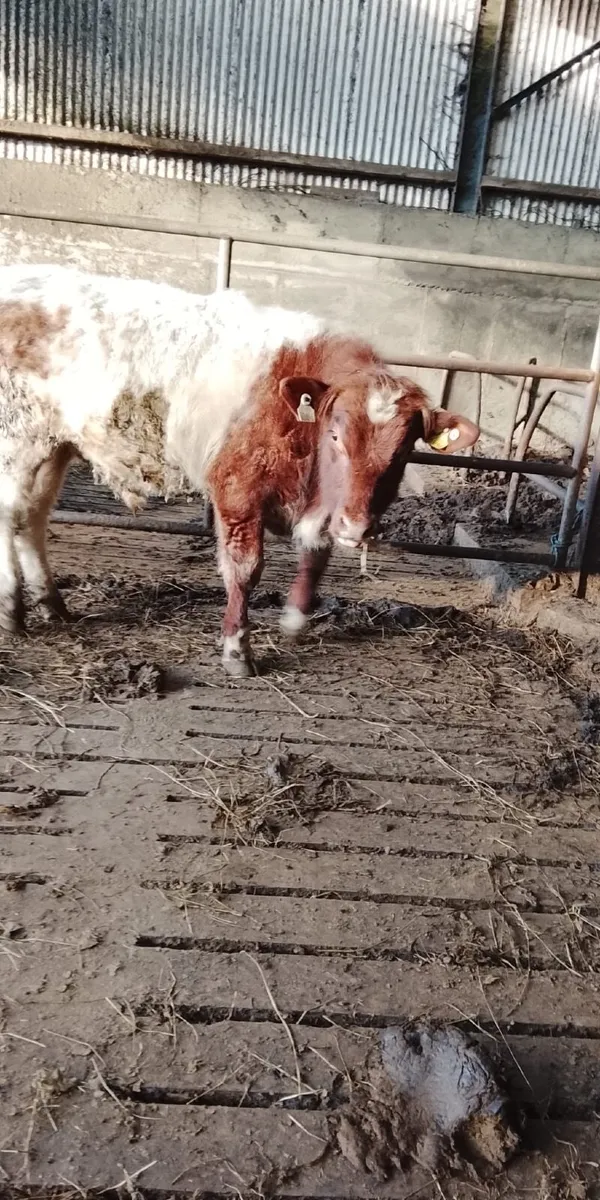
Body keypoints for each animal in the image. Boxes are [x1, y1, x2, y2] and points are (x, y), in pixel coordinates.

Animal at [0, 266, 479, 676]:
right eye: (336, 436)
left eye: (403, 451)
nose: (358, 528)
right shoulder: (237, 490)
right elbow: (245, 570)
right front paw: (236, 649)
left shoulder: (321, 507)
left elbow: (316, 556)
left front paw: (295, 619)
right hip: (18, 441)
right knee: (10, 515)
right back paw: (13, 610)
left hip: (55, 446)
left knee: (33, 518)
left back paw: (52, 605)